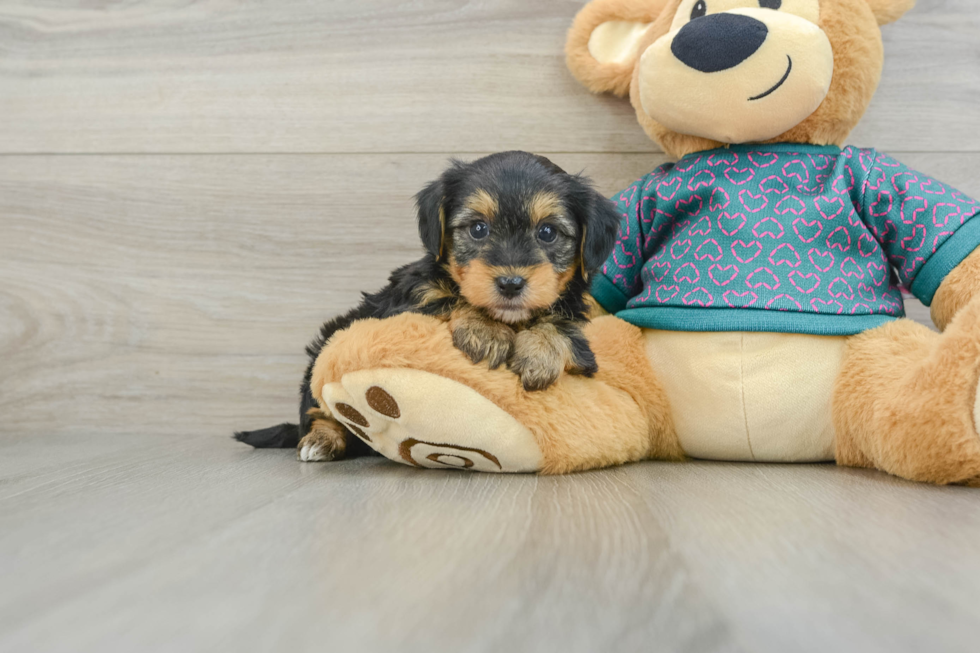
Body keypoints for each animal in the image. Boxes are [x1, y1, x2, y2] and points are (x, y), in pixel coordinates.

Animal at [235, 150, 620, 460]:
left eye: (548, 233)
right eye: (478, 229)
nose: (511, 283)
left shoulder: (581, 340)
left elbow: (561, 326)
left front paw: (539, 351)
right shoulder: (404, 301)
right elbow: (447, 296)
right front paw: (486, 329)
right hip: (325, 349)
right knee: (317, 411)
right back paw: (322, 440)